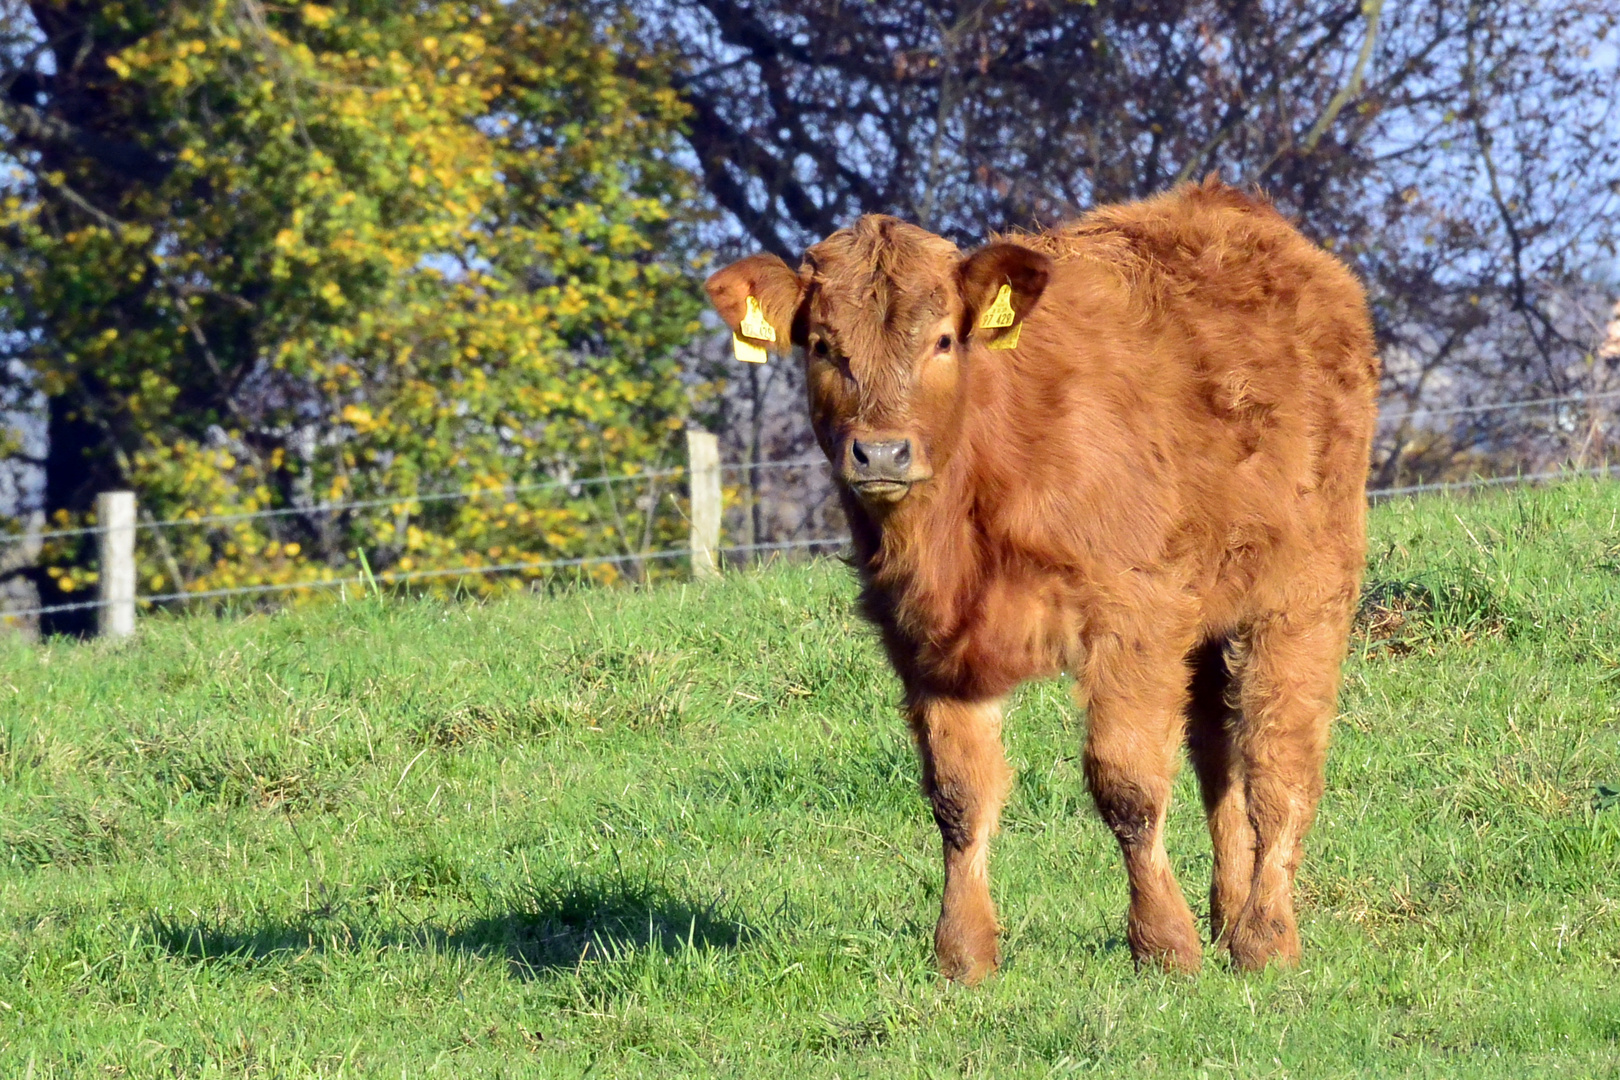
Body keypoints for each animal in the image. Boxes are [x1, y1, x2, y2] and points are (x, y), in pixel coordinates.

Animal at [709, 179, 1380, 990]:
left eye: (944, 340)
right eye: (821, 347)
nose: (881, 452)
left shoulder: (1133, 619)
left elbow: (1127, 785)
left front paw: (1163, 945)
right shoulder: (926, 643)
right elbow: (958, 797)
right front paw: (963, 952)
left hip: (1303, 591)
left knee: (1281, 766)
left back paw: (1264, 938)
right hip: (1213, 609)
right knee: (1220, 760)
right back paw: (1227, 915)